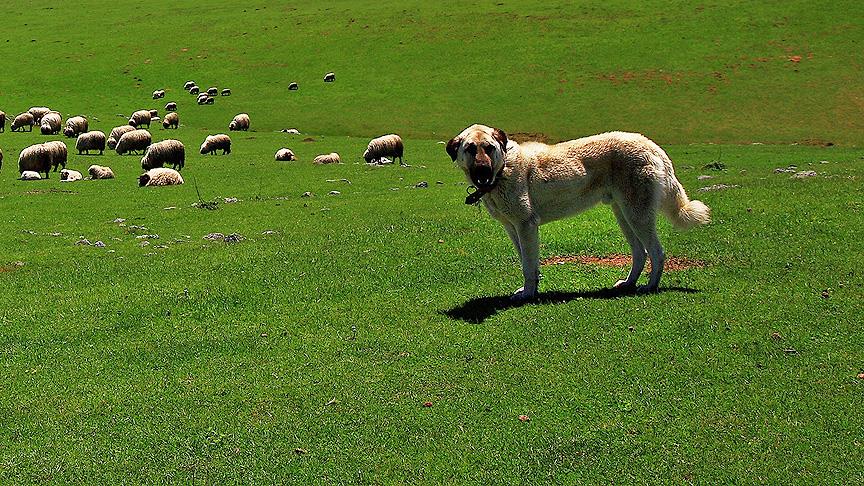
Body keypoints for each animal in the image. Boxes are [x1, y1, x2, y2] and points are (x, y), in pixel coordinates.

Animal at [446, 124, 708, 300]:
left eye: (489, 148)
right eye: (470, 149)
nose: (482, 171)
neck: (501, 172)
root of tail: (651, 144)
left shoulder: (526, 226)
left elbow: (528, 266)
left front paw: (529, 294)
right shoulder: (513, 229)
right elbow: (528, 262)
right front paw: (533, 288)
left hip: (637, 215)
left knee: (656, 252)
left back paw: (650, 286)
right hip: (623, 215)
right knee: (640, 253)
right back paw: (628, 283)